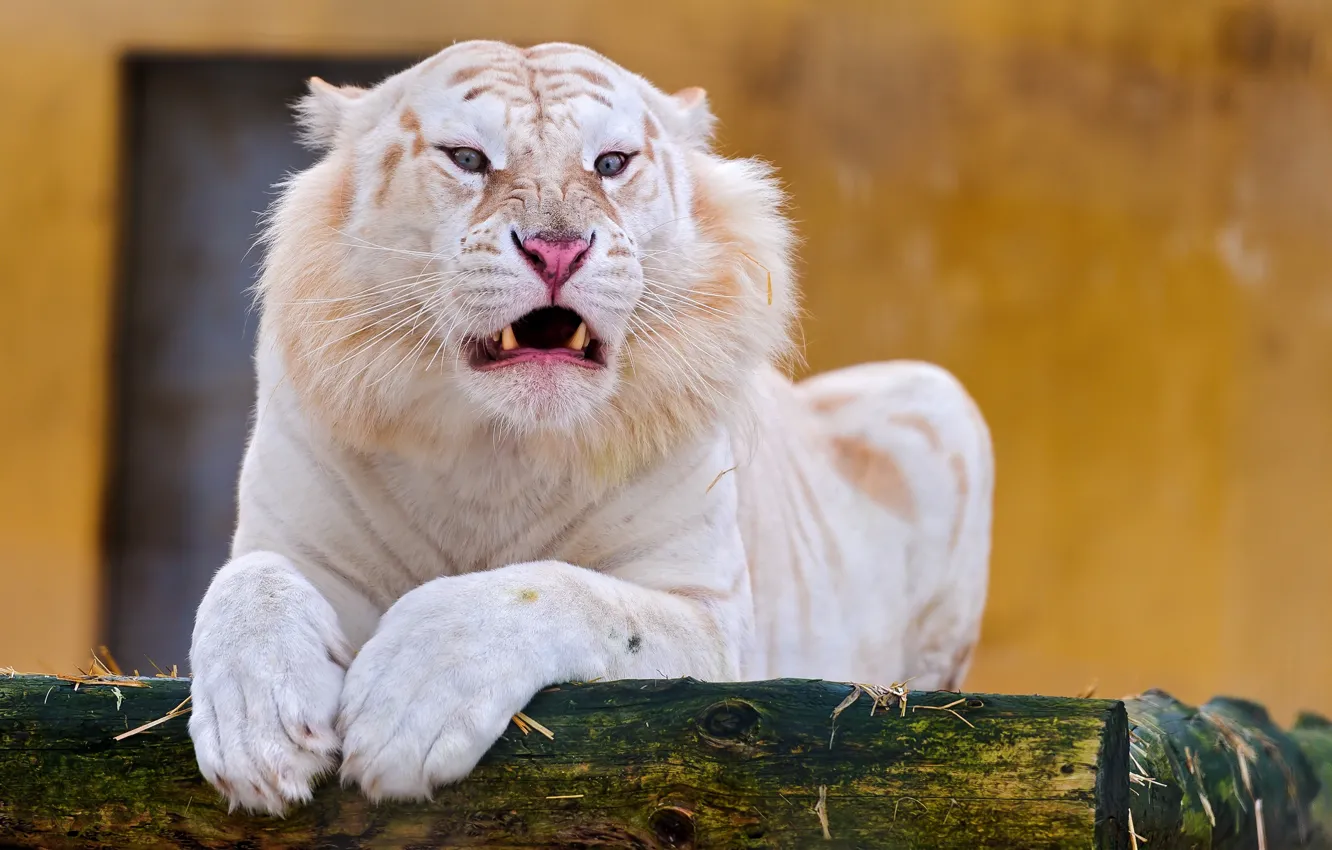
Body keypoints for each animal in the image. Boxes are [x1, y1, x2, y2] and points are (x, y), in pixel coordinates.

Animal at [187, 39, 994, 814]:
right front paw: (257, 733)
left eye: (610, 163)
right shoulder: (295, 541)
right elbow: (246, 582)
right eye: (467, 158)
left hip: (939, 398)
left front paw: (405, 705)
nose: (557, 249)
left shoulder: (713, 620)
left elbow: (564, 593)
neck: (496, 449)